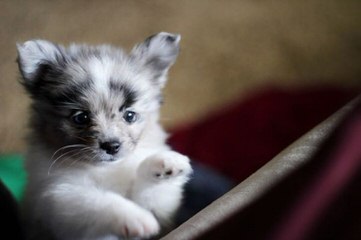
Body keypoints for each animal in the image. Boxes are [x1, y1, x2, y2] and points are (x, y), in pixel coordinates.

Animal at [17, 32, 191, 240]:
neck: (106, 170)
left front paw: (165, 163)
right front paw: (136, 218)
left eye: (129, 115)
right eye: (81, 117)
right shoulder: (59, 197)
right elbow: (97, 201)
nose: (111, 146)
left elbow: (151, 193)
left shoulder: (162, 211)